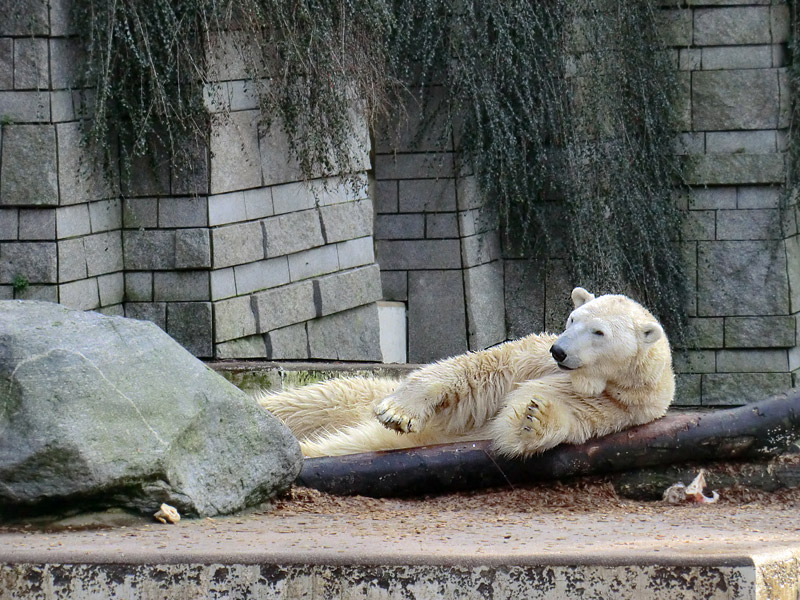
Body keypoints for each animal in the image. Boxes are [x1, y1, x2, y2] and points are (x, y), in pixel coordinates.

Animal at [256, 288, 676, 458]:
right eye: (573, 318)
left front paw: (533, 416)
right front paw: (399, 411)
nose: (559, 350)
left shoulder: (616, 407)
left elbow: (556, 418)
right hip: (357, 392)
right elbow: (483, 372)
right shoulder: (531, 355)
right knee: (312, 400)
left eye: (599, 332)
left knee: (346, 440)